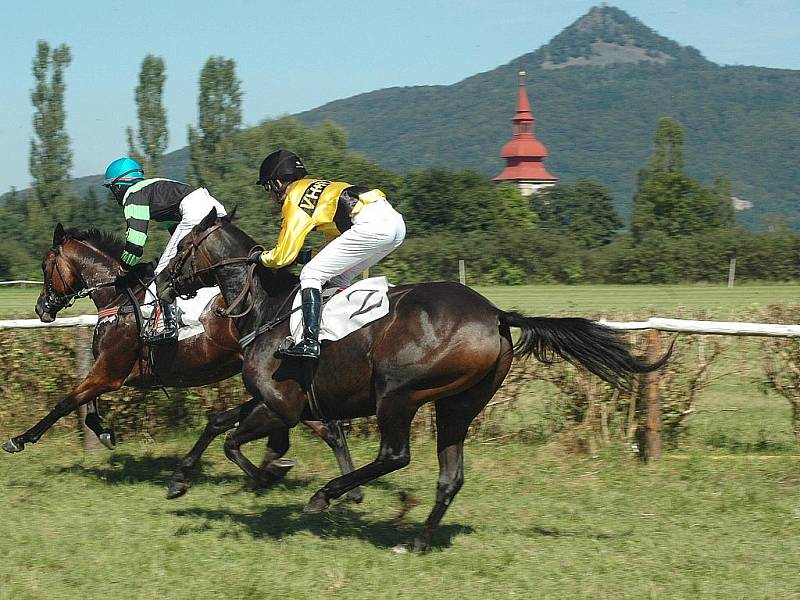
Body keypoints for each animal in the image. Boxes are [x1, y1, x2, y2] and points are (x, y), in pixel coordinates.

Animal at [0, 221, 362, 502]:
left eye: (46, 266)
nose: (41, 308)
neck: (118, 299)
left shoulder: (110, 371)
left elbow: (65, 403)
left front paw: (19, 440)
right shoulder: (110, 371)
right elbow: (87, 408)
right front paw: (105, 433)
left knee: (314, 424)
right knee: (320, 426)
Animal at [158, 213, 668, 556]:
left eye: (181, 245)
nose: (161, 282)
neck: (269, 309)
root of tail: (496, 314)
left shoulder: (282, 406)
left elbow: (234, 443)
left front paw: (268, 476)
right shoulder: (274, 401)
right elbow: (217, 423)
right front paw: (180, 480)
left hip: (397, 393)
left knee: (395, 455)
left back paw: (327, 496)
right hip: (458, 405)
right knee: (450, 476)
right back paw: (418, 541)